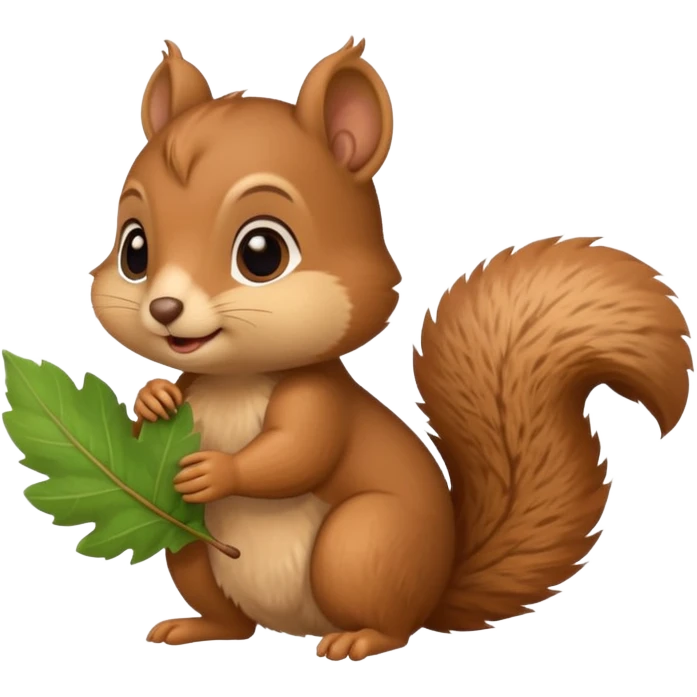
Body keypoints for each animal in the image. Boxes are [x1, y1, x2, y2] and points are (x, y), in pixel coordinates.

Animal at [90, 37, 694, 660]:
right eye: (134, 249)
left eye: (262, 253)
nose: (164, 309)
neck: (238, 378)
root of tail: (435, 590)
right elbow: (154, 416)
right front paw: (154, 399)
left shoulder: (319, 400)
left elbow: (298, 453)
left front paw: (217, 471)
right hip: (194, 550)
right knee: (230, 618)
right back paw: (197, 628)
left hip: (363, 545)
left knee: (390, 621)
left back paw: (358, 639)